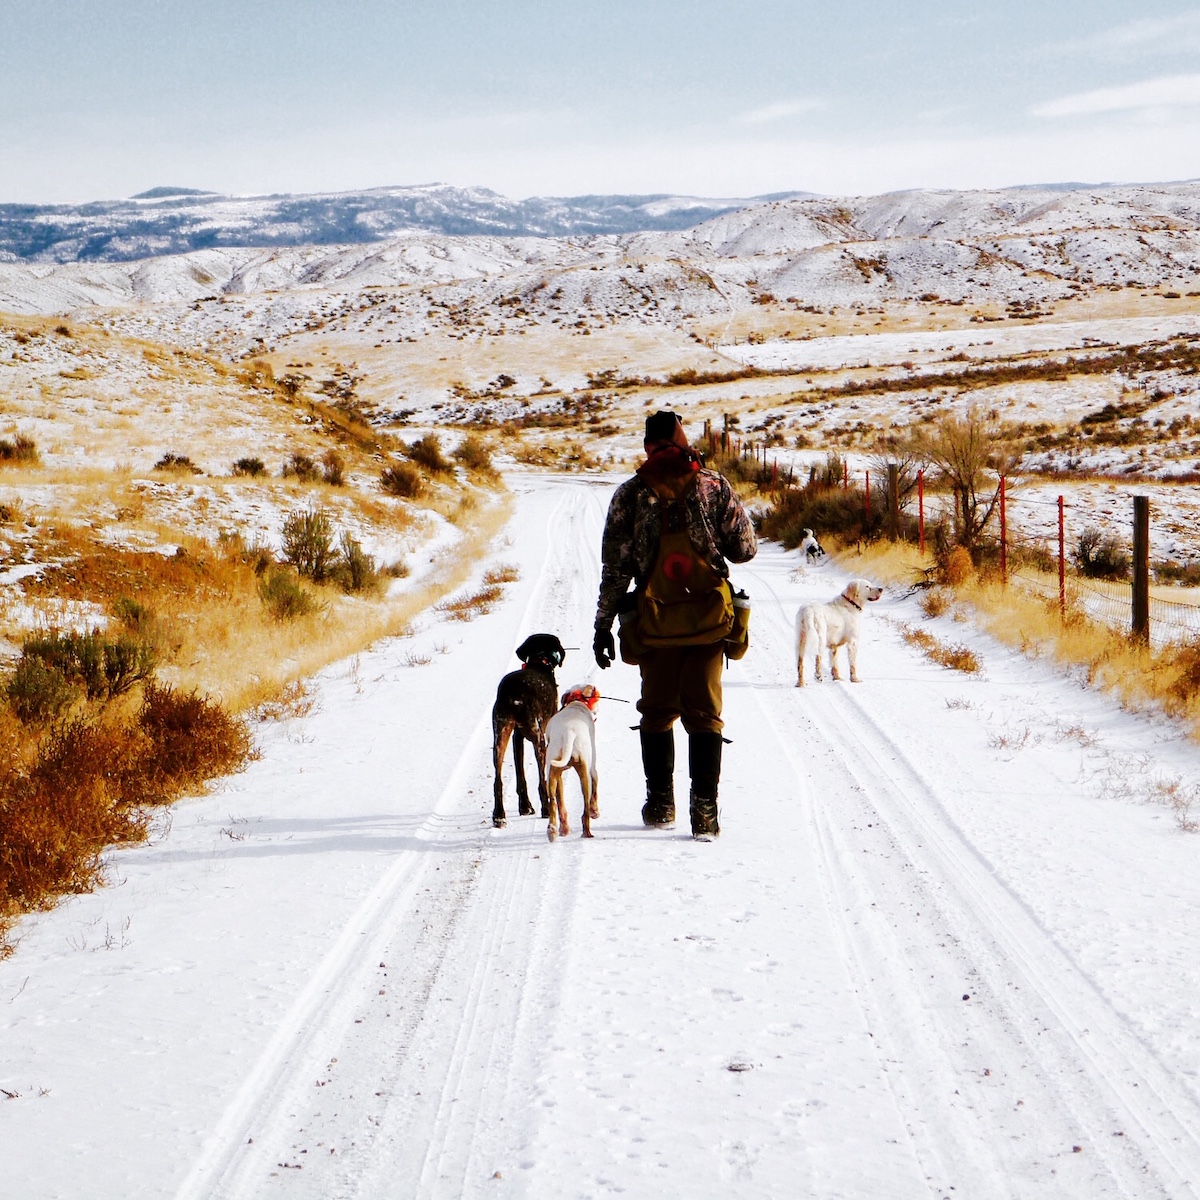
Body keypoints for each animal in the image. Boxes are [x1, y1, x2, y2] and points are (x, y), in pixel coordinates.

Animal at [489, 638, 564, 825]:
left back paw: (499, 814)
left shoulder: (517, 737)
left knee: (498, 779)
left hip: (500, 736)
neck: (539, 660)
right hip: (538, 738)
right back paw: (546, 809)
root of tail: (513, 693)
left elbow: (520, 774)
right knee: (542, 780)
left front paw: (524, 807)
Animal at [544, 686, 600, 844]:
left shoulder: (559, 776)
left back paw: (555, 830)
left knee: (554, 803)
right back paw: (587, 832)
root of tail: (569, 732)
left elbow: (560, 801)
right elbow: (596, 787)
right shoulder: (593, 769)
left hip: (552, 773)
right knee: (586, 808)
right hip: (585, 772)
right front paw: (595, 812)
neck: (576, 703)